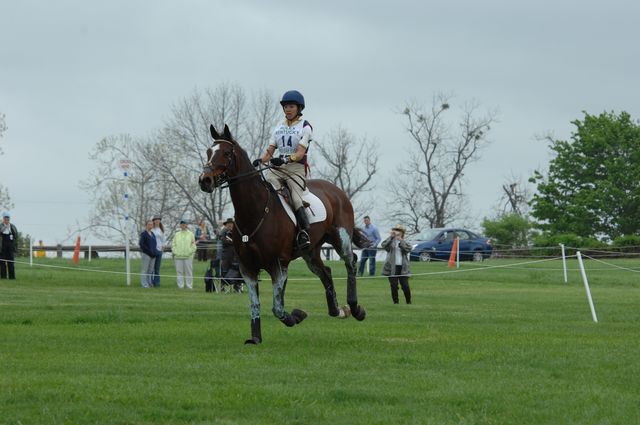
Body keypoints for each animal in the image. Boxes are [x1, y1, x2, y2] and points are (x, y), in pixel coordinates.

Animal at [200, 124, 370, 342]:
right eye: (208, 152)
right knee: (326, 272)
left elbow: (278, 308)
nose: (204, 180)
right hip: (311, 252)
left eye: (227, 153)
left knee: (351, 263)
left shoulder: (279, 266)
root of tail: (337, 191)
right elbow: (255, 304)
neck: (255, 211)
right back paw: (338, 310)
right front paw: (255, 339)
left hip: (341, 240)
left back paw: (355, 308)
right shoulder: (247, 268)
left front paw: (297, 315)